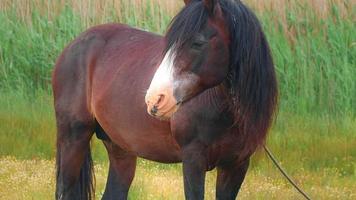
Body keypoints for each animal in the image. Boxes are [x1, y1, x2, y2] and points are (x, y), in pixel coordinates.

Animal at [52, 0, 278, 199]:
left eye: (198, 43)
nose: (154, 99)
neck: (226, 110)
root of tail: (74, 45)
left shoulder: (237, 165)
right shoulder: (193, 160)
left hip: (120, 149)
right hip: (74, 139)